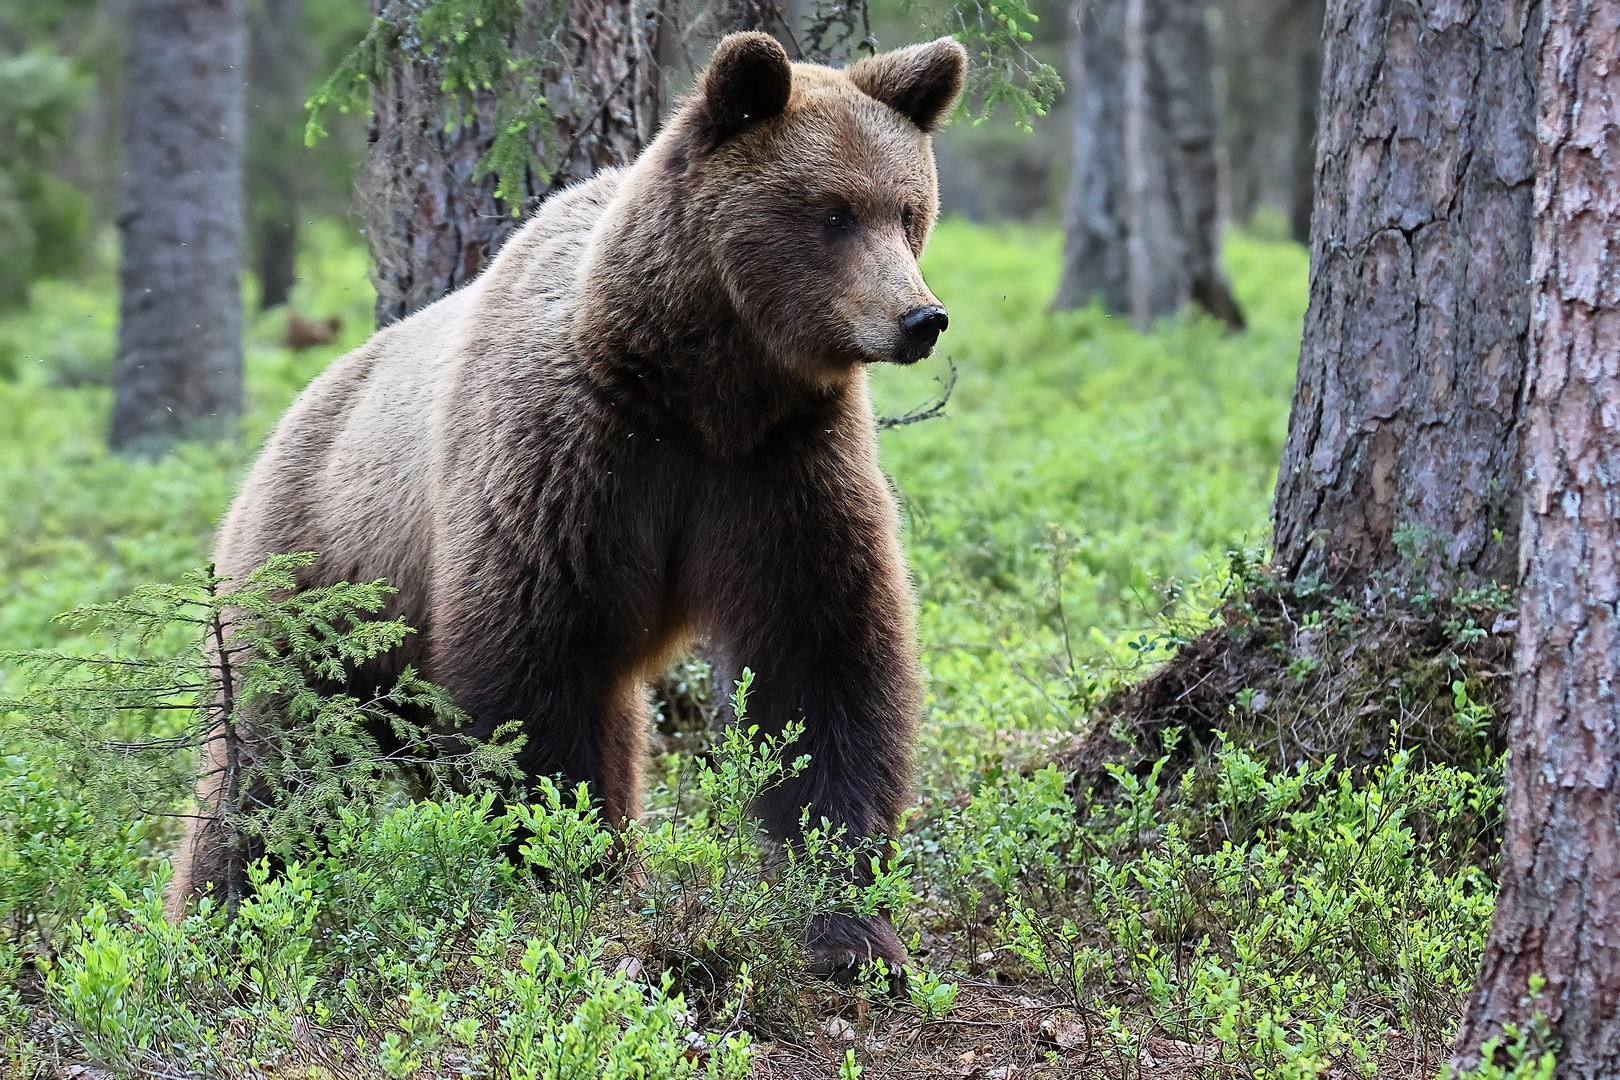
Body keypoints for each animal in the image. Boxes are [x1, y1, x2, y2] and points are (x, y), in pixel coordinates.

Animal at [172, 29, 965, 977]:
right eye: (833, 214)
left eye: (909, 210)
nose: (920, 317)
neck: (697, 384)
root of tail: (288, 417)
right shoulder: (567, 455)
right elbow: (533, 672)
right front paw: (564, 874)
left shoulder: (781, 465)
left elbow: (826, 661)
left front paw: (850, 923)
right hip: (320, 569)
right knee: (270, 759)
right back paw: (219, 922)